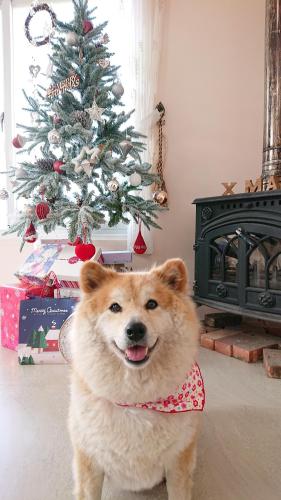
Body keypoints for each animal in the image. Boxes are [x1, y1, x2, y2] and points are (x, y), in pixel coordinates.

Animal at [68, 260, 203, 498]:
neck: (136, 400)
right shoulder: (90, 462)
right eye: (115, 307)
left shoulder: (178, 462)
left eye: (152, 304)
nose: (135, 329)